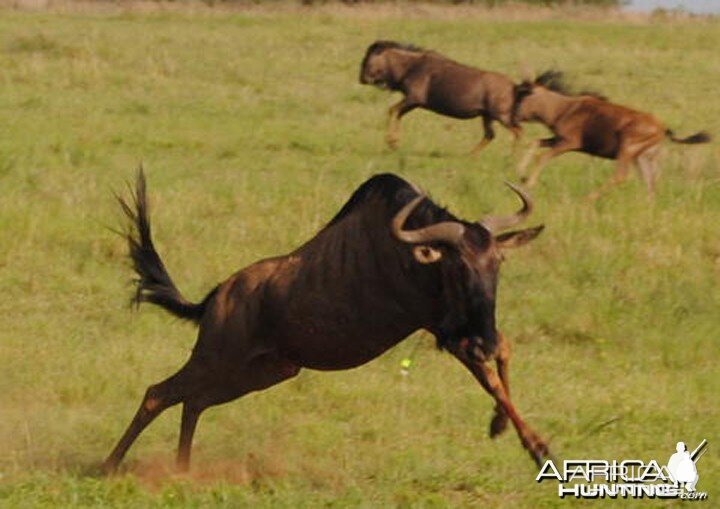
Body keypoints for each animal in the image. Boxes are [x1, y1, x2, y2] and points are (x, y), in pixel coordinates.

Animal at [360, 40, 524, 152]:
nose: (362, 78)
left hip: (501, 116)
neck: (410, 66)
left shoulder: (414, 98)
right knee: (490, 135)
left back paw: (511, 158)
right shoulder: (415, 102)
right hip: (487, 116)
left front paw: (391, 141)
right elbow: (398, 114)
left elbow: (392, 110)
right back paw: (470, 155)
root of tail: (513, 86)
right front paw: (395, 142)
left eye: (367, 59)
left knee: (518, 131)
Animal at [512, 70, 708, 197]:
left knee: (621, 176)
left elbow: (542, 157)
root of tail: (662, 128)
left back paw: (588, 199)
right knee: (650, 183)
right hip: (643, 157)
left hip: (627, 150)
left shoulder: (568, 142)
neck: (565, 107)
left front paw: (528, 182)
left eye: (522, 95)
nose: (513, 118)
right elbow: (536, 142)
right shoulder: (558, 139)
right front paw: (521, 174)